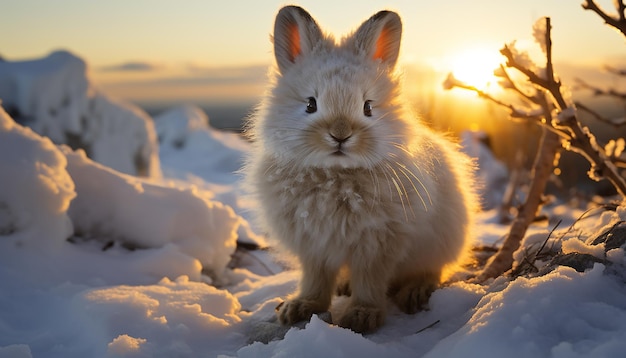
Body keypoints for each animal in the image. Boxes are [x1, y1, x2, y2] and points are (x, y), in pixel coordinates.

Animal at [241, 5, 476, 334]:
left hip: (442, 242)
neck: (335, 173)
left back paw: (415, 292)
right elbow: (315, 279)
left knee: (433, 270)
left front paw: (362, 317)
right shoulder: (313, 248)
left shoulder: (376, 244)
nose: (340, 135)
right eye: (310, 104)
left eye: (368, 107)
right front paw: (300, 307)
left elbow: (370, 280)